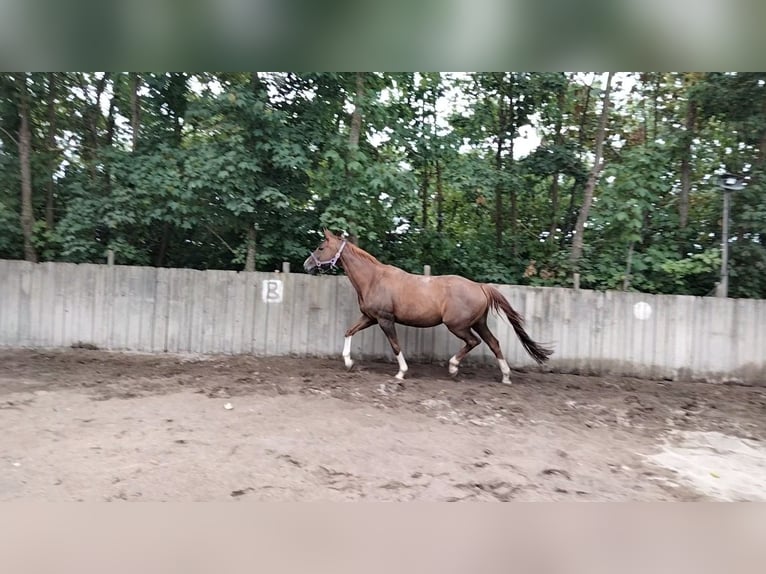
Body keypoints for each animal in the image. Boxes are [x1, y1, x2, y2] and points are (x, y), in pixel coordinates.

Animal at [304, 231, 556, 388]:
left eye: (321, 246)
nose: (306, 265)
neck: (374, 279)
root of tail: (480, 286)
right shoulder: (370, 317)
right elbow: (348, 331)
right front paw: (348, 363)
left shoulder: (385, 319)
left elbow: (395, 345)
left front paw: (401, 373)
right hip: (479, 322)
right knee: (494, 343)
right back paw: (505, 377)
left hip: (458, 325)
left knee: (474, 342)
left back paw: (453, 368)